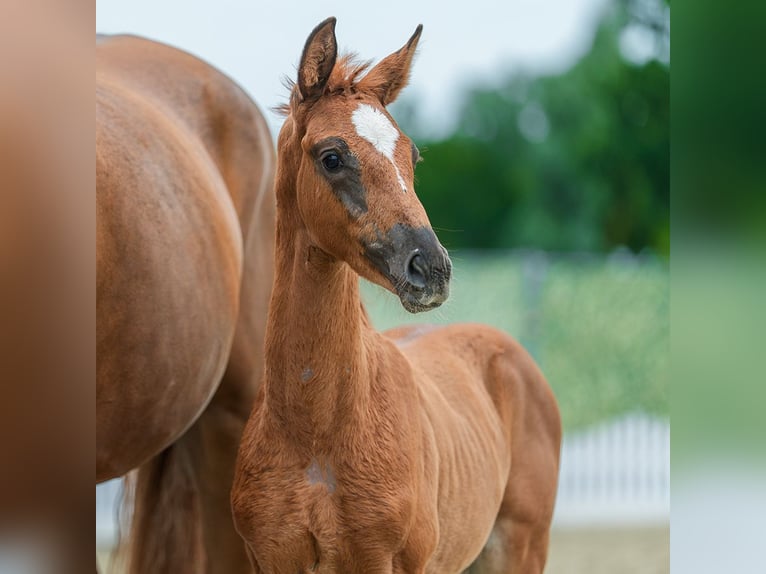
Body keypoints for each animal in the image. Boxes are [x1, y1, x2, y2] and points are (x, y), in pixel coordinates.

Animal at [231, 18, 562, 574]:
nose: (431, 268)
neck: (317, 434)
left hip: (521, 546)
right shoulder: (269, 559)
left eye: (412, 155)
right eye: (332, 157)